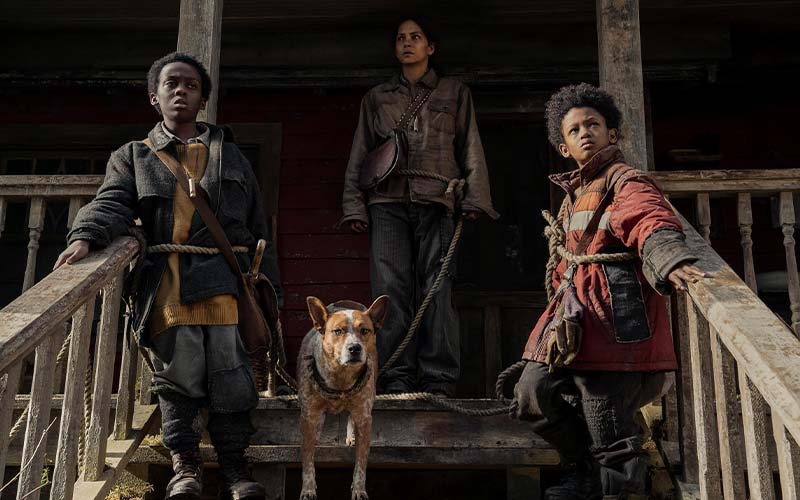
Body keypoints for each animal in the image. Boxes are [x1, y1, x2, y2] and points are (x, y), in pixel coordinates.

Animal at [298, 296, 390, 500]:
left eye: (365, 330)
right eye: (337, 331)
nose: (354, 348)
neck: (340, 378)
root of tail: (348, 301)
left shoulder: (364, 417)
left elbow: (361, 464)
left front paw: (359, 490)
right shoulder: (308, 415)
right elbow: (307, 459)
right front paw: (308, 489)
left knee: (350, 416)